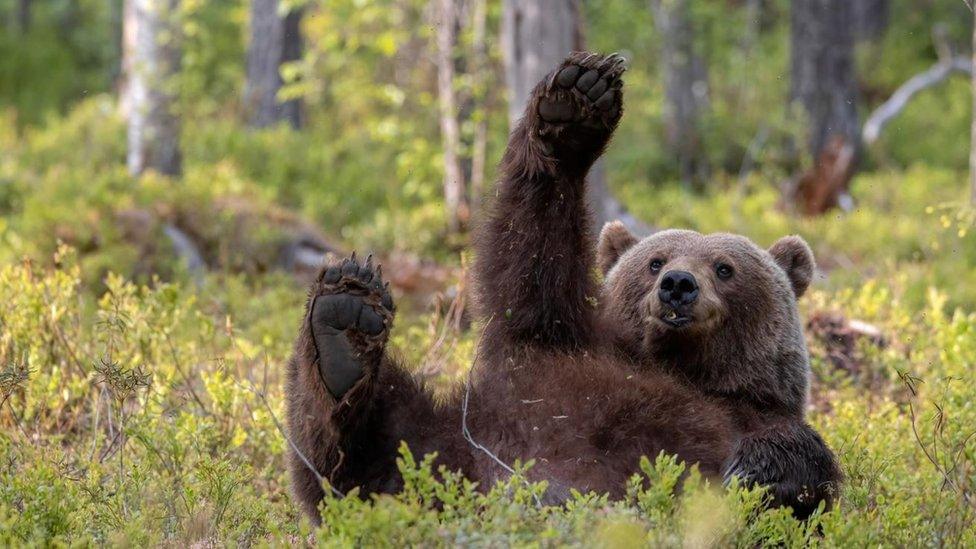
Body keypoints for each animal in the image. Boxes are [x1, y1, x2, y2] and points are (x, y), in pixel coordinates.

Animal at [286, 53, 836, 524]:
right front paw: (574, 107)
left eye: (725, 267)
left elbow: (804, 466)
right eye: (655, 261)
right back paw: (343, 327)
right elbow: (530, 259)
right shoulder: (552, 348)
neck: (680, 367)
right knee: (368, 453)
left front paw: (754, 472)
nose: (678, 285)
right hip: (452, 450)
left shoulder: (749, 413)